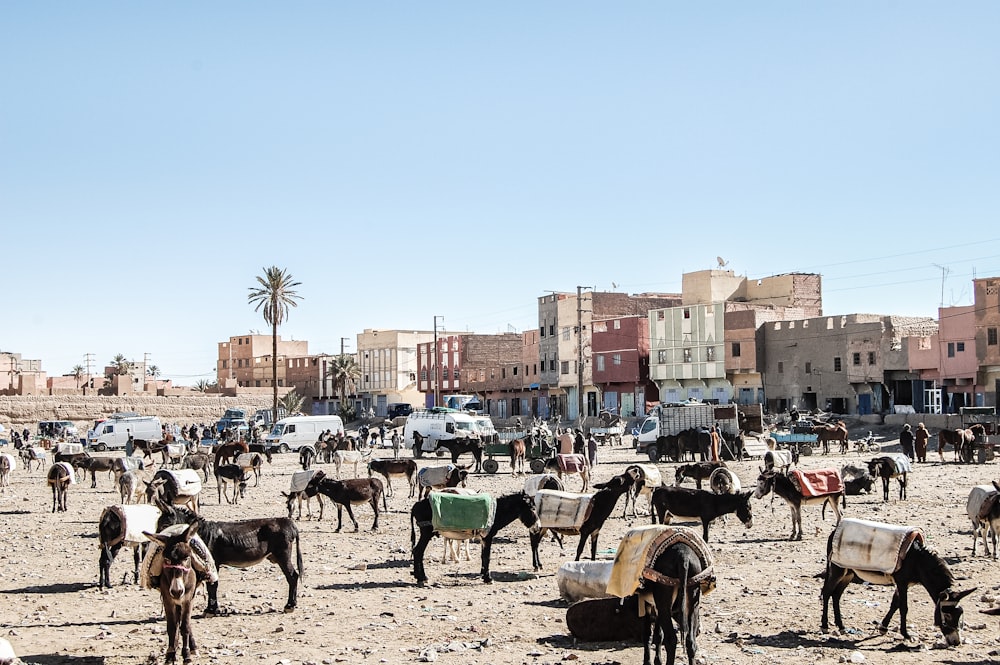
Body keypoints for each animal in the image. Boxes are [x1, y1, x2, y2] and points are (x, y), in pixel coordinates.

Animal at [820, 516, 976, 644]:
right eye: (947, 615)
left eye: (960, 614)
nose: (956, 642)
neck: (917, 560)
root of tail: (834, 532)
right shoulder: (902, 583)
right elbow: (903, 607)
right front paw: (906, 634)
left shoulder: (902, 584)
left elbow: (894, 604)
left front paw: (883, 627)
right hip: (837, 570)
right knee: (827, 592)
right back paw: (825, 626)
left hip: (848, 573)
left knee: (836, 595)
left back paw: (841, 626)